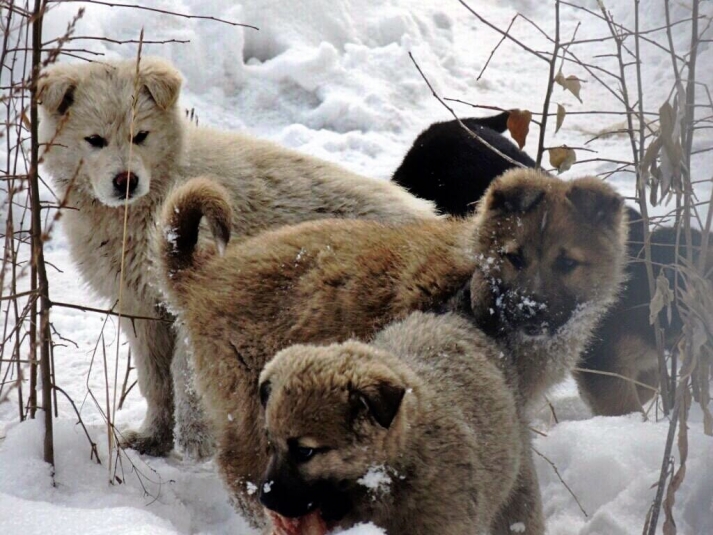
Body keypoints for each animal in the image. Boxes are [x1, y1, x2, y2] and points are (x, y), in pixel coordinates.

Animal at [40, 58, 440, 458]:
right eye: (95, 140)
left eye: (141, 135)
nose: (126, 181)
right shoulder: (140, 306)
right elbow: (155, 380)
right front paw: (152, 438)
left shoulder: (193, 306)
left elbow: (185, 381)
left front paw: (195, 448)